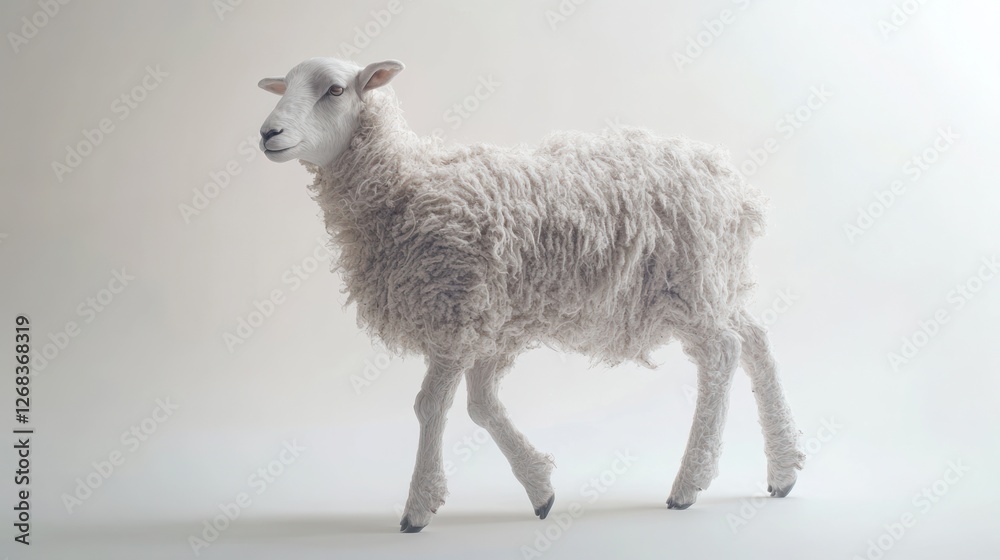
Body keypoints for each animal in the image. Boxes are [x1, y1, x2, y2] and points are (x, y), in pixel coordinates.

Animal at [257, 57, 805, 533]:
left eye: (334, 90)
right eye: (285, 86)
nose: (267, 133)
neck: (408, 185)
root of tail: (729, 183)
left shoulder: (455, 312)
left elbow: (431, 406)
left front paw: (418, 507)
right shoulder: (488, 322)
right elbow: (481, 405)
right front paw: (540, 488)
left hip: (690, 283)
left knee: (723, 352)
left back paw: (690, 482)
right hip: (717, 283)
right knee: (756, 340)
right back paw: (783, 468)